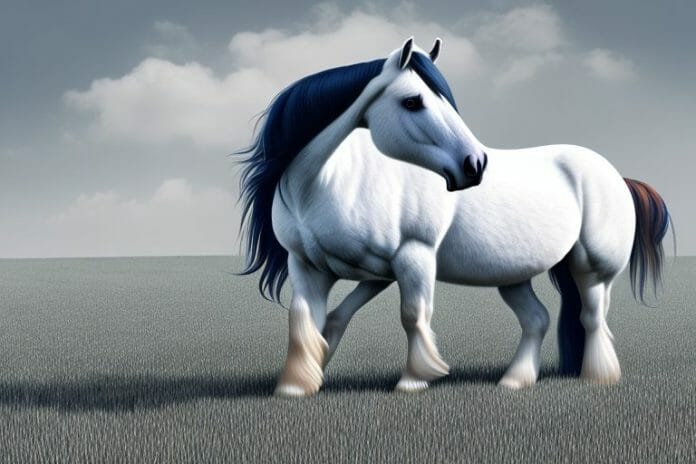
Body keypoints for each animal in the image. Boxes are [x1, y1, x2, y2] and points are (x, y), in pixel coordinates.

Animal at [237, 38, 671, 397]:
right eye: (413, 101)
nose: (475, 165)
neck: (331, 182)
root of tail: (616, 175)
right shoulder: (313, 266)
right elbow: (310, 318)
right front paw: (297, 384)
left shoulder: (412, 257)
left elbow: (412, 315)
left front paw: (415, 380)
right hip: (513, 276)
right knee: (538, 319)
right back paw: (515, 381)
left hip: (591, 268)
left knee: (592, 317)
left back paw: (598, 377)